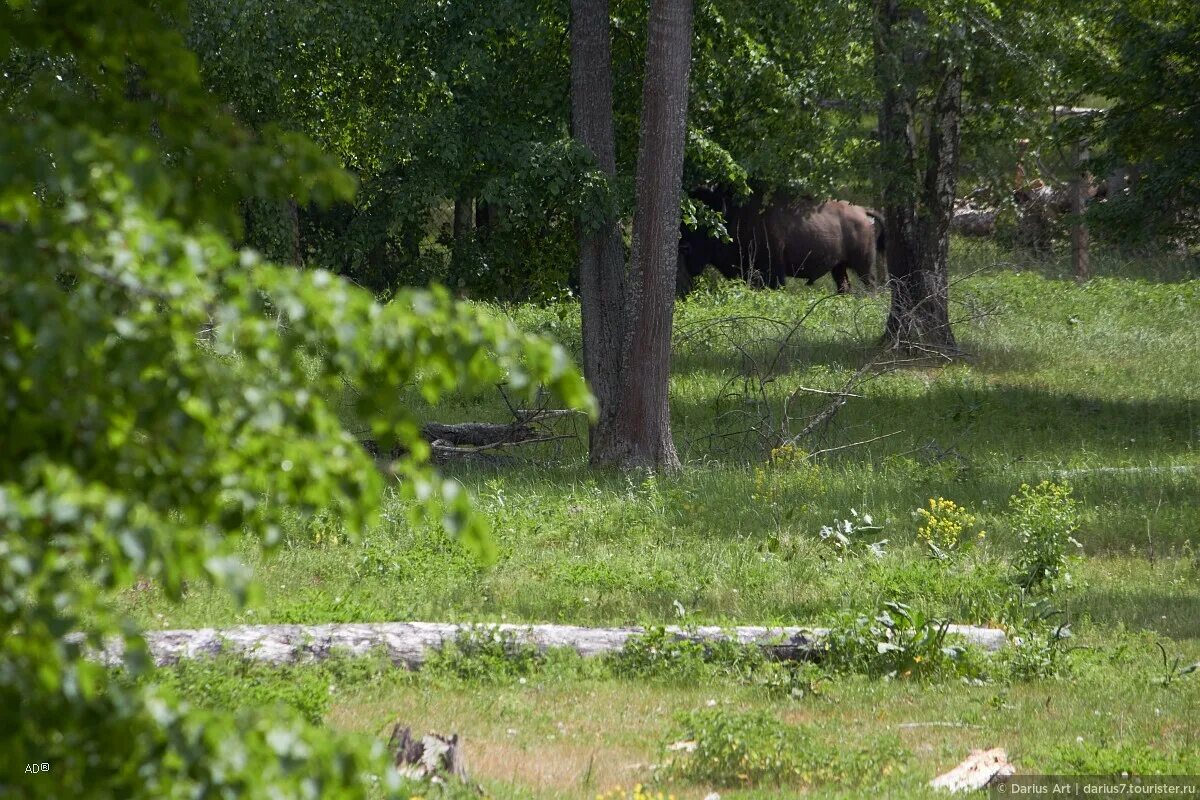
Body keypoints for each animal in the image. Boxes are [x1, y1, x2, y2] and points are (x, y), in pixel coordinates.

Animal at [681, 189, 888, 296]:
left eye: (705, 229)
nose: (684, 247)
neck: (736, 217)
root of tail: (862, 211)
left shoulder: (773, 271)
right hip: (839, 266)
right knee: (844, 285)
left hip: (862, 265)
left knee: (870, 283)